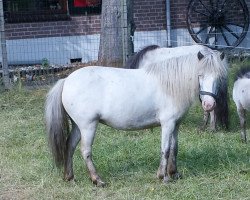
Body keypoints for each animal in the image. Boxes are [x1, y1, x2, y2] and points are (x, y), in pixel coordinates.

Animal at [44, 44, 227, 185]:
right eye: (200, 75)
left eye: (218, 77)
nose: (209, 105)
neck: (170, 85)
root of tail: (66, 80)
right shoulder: (167, 124)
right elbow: (165, 149)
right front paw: (163, 177)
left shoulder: (176, 124)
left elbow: (174, 148)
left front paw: (174, 173)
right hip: (87, 126)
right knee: (85, 151)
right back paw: (97, 180)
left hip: (78, 126)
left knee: (70, 146)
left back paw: (70, 177)